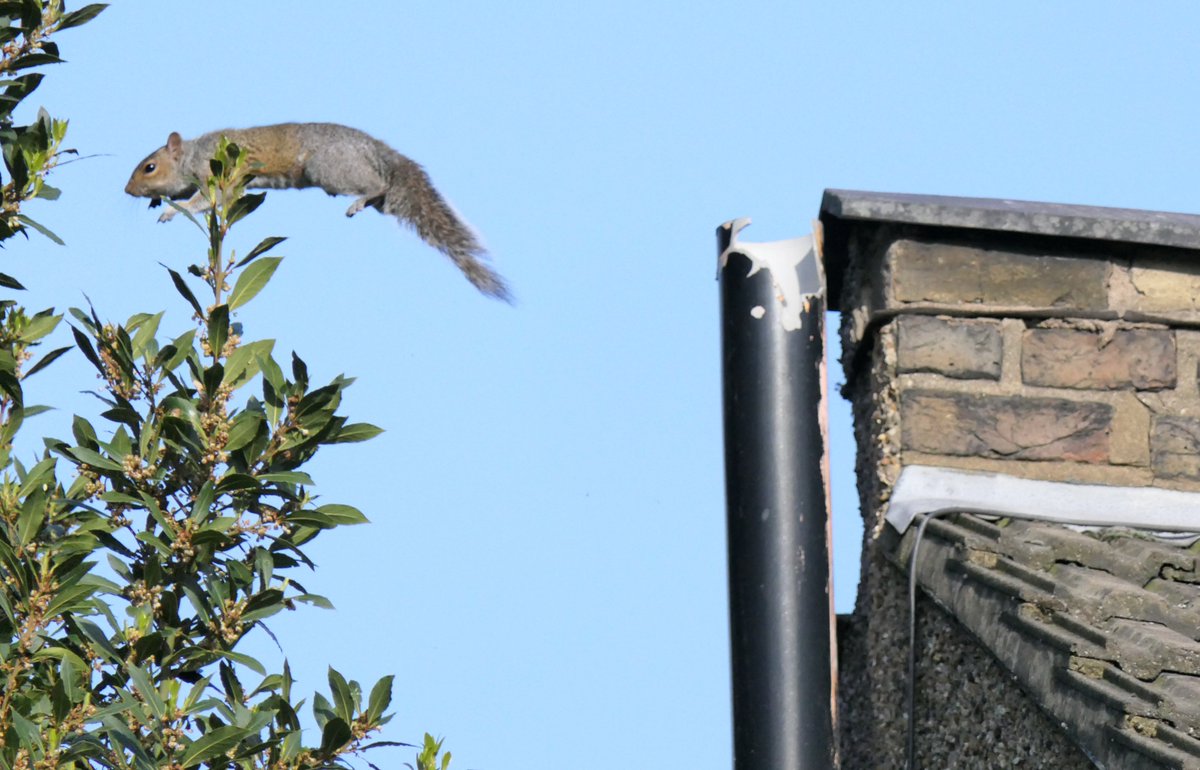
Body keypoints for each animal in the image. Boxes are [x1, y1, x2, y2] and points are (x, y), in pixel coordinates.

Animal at [125, 122, 510, 301]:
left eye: (149, 167)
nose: (128, 191)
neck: (192, 155)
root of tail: (374, 148)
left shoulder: (220, 175)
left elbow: (210, 200)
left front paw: (174, 210)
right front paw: (161, 202)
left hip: (331, 167)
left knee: (378, 186)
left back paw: (360, 199)